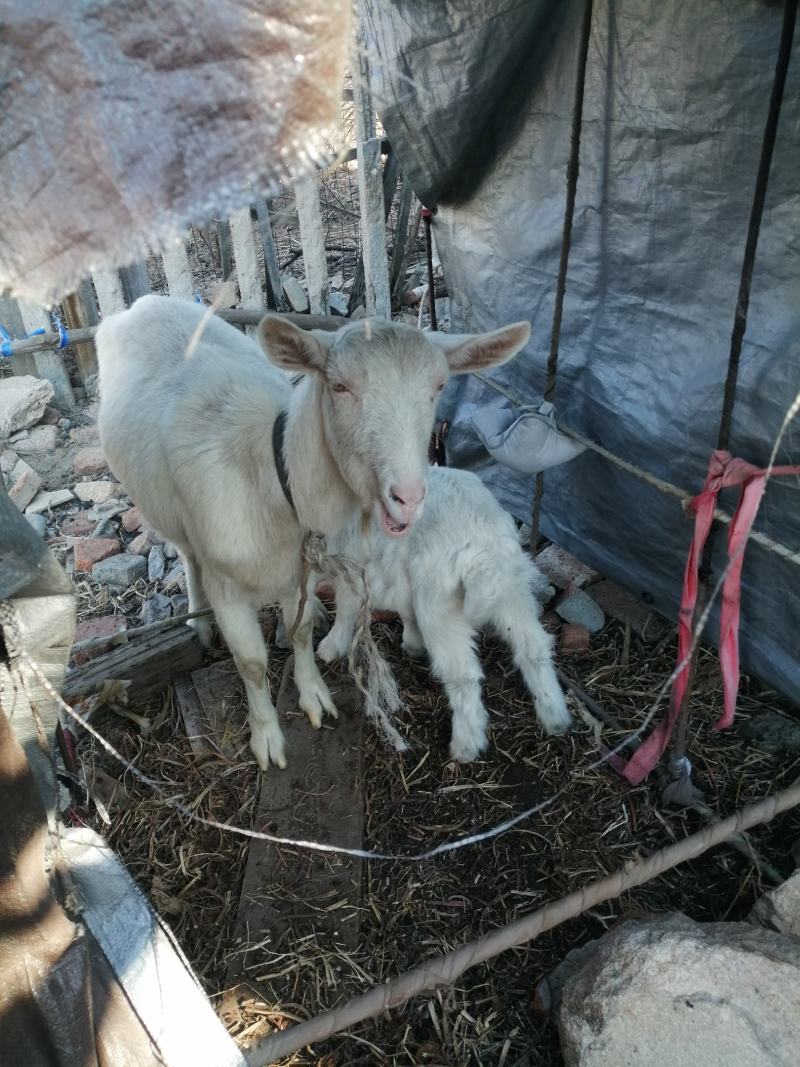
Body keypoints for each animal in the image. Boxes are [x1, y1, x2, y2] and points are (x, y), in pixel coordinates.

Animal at [95, 296, 533, 772]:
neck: (274, 481)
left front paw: (315, 697)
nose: (408, 498)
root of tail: (145, 302)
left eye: (438, 386)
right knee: (186, 554)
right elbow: (252, 662)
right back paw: (199, 622)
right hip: (166, 513)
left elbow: (300, 632)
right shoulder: (226, 582)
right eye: (339, 386)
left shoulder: (299, 568)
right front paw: (267, 738)